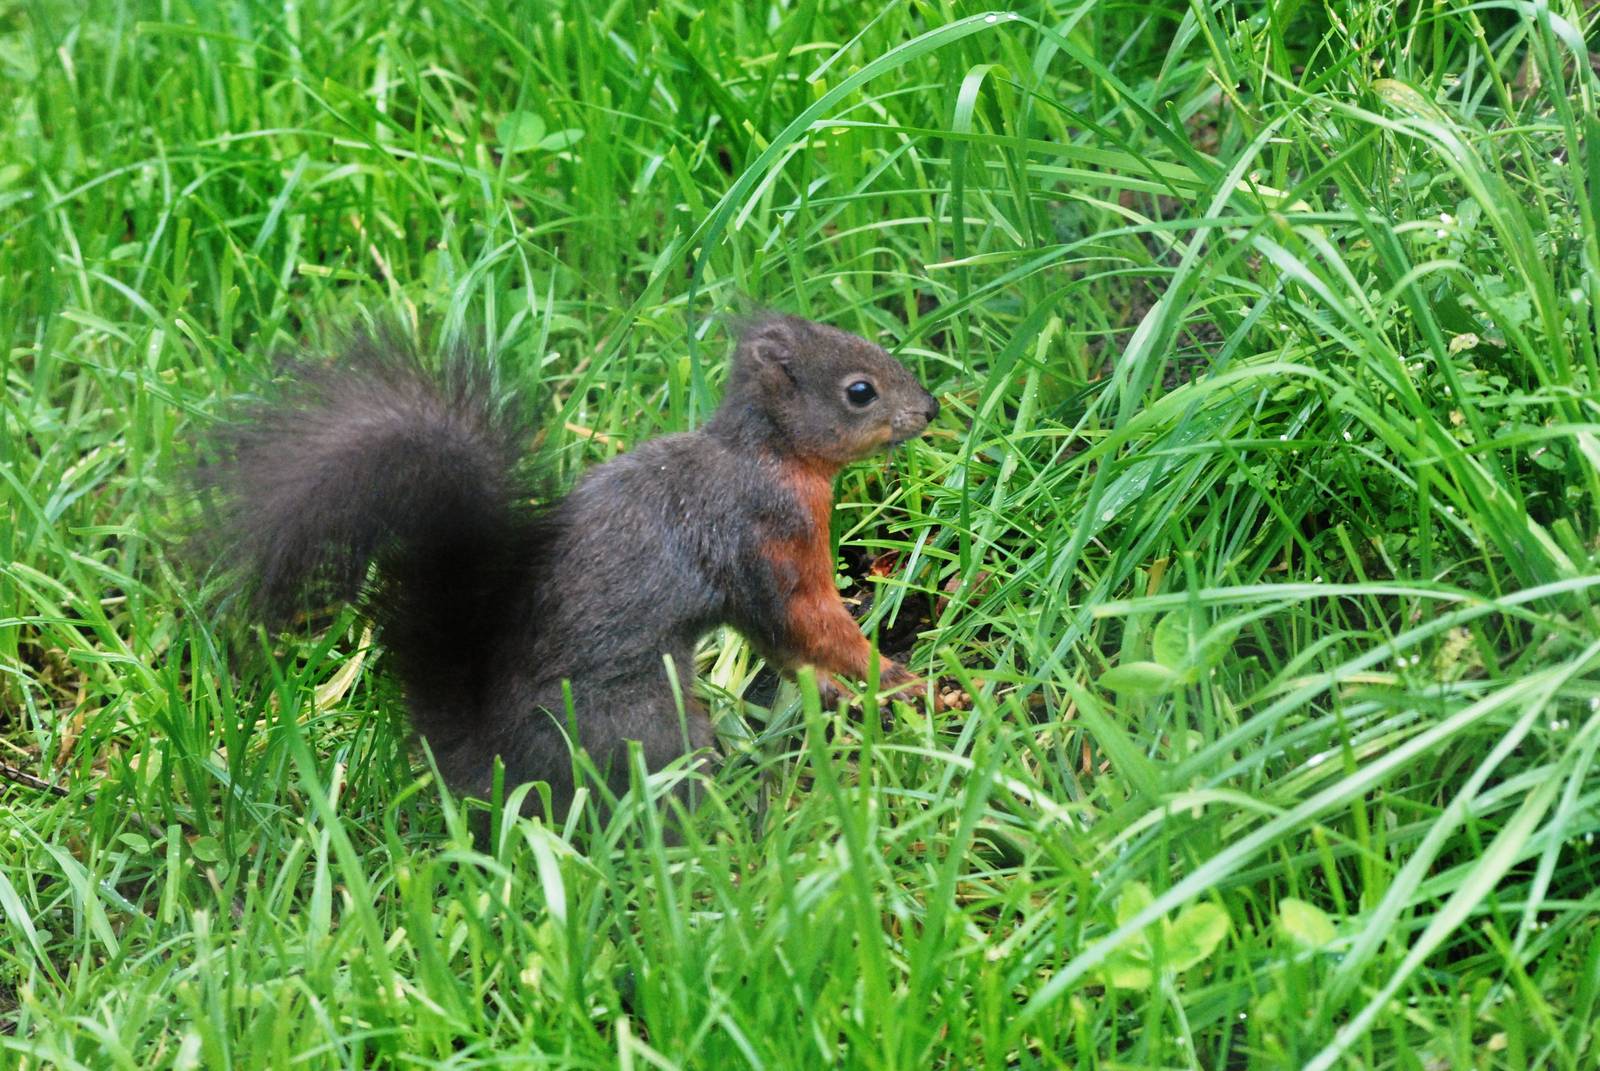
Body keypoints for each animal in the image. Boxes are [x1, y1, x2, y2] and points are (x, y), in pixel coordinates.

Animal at [196, 313, 942, 818]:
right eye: (859, 391)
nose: (930, 407)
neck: (770, 455)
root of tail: (491, 762)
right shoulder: (769, 540)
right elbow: (810, 624)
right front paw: (905, 683)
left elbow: (787, 649)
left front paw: (851, 692)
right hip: (645, 722)